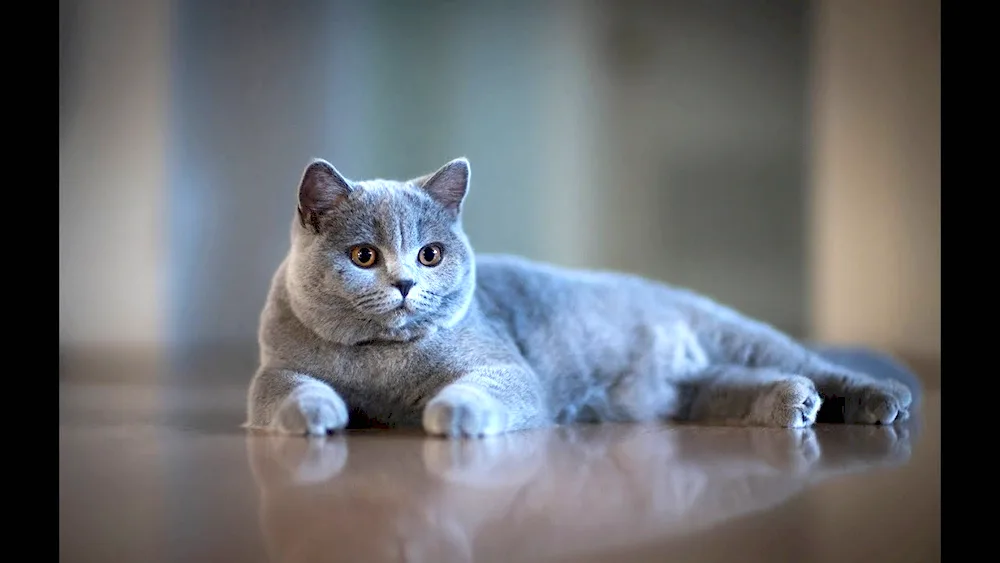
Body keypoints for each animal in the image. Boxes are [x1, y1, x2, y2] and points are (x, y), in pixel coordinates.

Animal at [244, 156, 916, 438]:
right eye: (364, 257)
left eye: (430, 255)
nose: (406, 282)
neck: (382, 359)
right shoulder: (275, 371)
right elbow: (291, 391)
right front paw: (318, 415)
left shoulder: (504, 368)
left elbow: (477, 389)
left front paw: (453, 416)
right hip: (689, 391)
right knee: (736, 389)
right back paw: (794, 404)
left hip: (738, 336)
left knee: (815, 364)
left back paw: (880, 399)